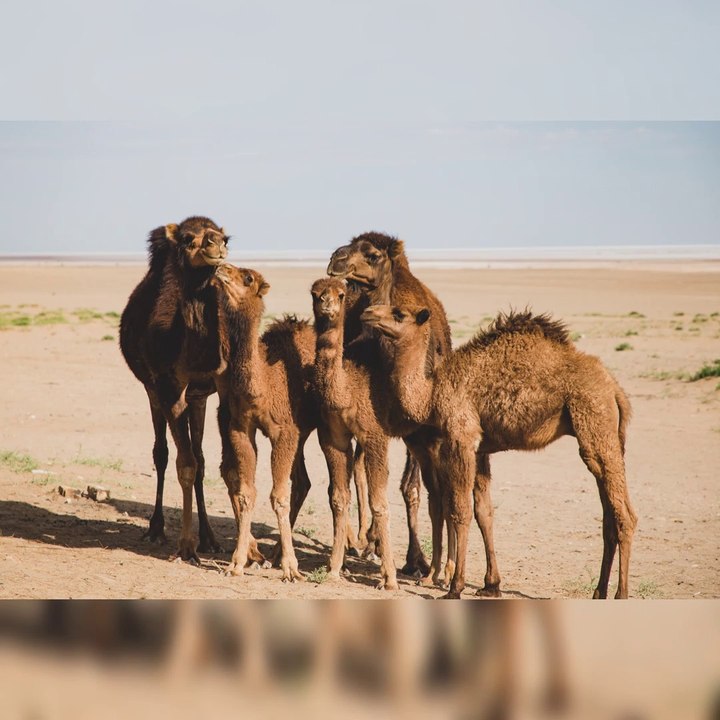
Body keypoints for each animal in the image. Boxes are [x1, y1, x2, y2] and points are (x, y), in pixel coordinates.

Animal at [213, 264, 318, 582]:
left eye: (248, 278)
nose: (221, 268)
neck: (263, 385)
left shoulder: (284, 431)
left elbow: (279, 496)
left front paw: (292, 568)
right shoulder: (240, 427)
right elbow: (247, 492)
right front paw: (236, 564)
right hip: (301, 434)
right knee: (302, 482)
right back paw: (273, 554)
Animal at [326, 232, 453, 578]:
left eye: (372, 254)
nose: (336, 258)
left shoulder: (416, 426)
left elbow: (411, 488)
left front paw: (416, 560)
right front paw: (368, 542)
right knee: (356, 471)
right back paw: (360, 540)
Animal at [361, 305, 637, 599]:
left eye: (399, 314)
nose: (368, 312)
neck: (432, 392)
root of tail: (615, 389)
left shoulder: (462, 437)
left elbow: (460, 510)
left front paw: (455, 587)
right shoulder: (481, 448)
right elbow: (484, 512)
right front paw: (490, 586)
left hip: (594, 420)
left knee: (624, 515)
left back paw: (621, 593)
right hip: (605, 437)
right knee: (608, 516)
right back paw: (599, 592)